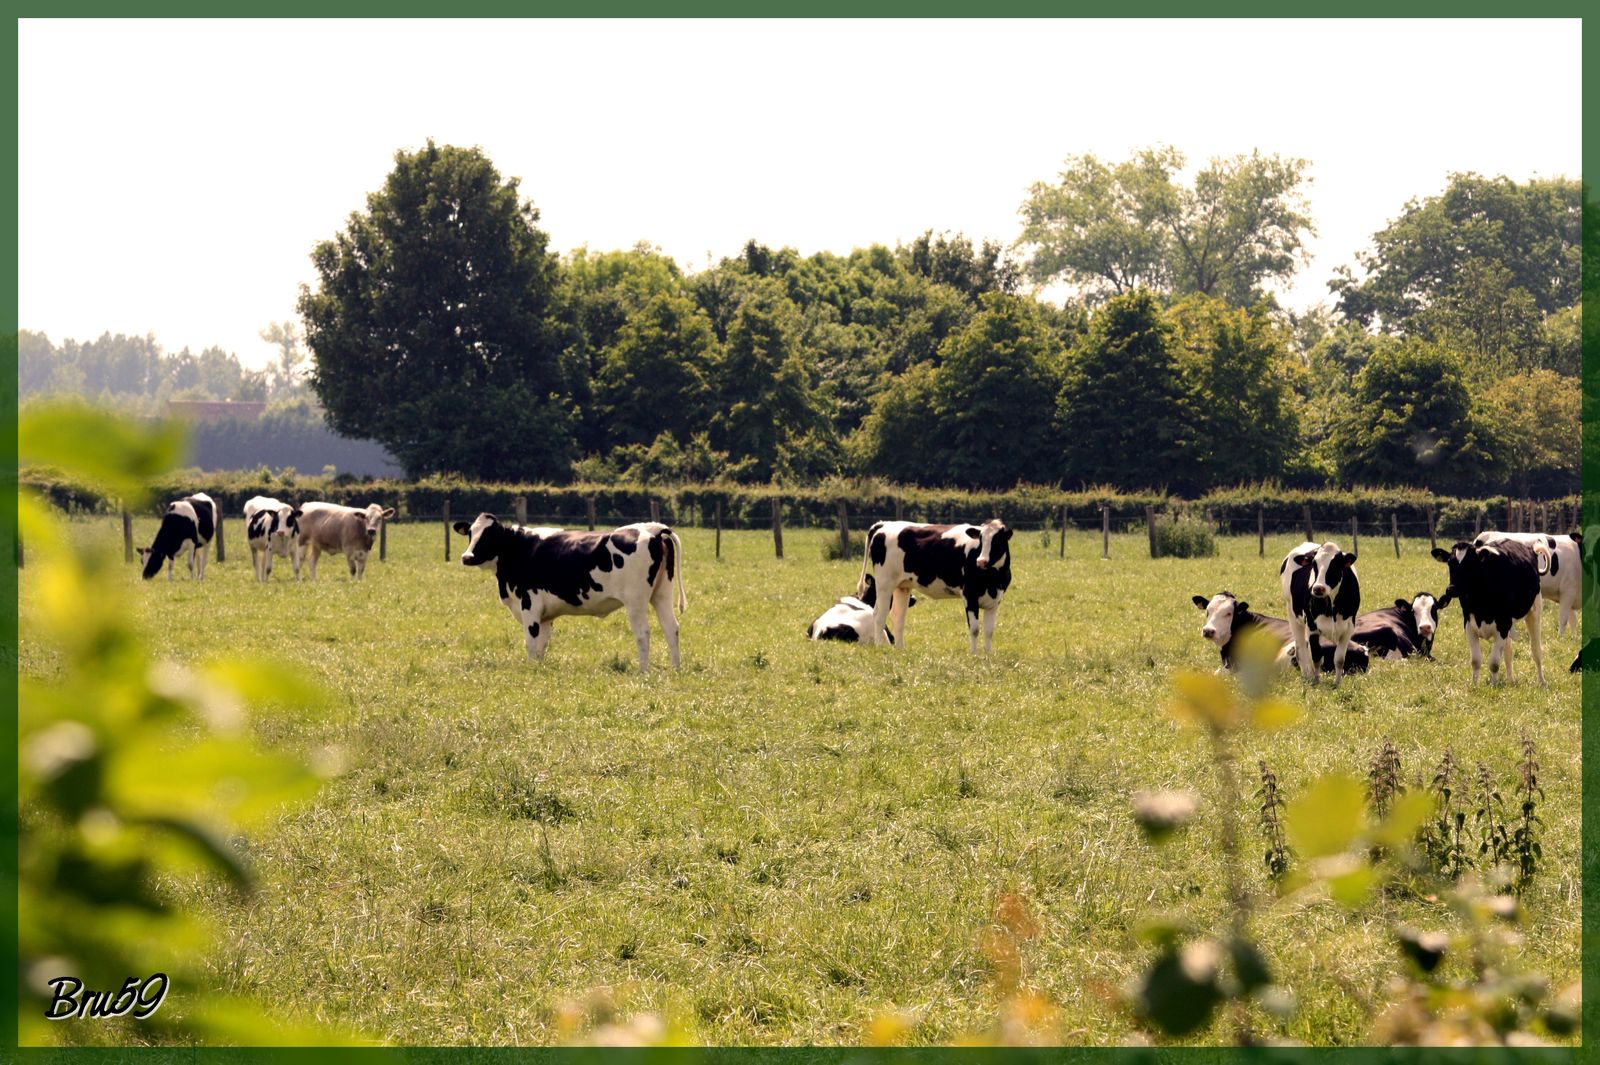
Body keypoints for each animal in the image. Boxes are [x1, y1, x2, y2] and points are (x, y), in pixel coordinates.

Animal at [457, 514, 694, 671]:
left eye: (490, 536)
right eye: (470, 534)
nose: (466, 557)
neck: (517, 549)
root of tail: (651, 528)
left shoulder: (529, 604)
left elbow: (531, 641)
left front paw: (530, 668)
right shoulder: (546, 613)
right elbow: (542, 643)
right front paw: (538, 669)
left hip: (636, 601)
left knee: (643, 633)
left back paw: (643, 671)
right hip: (662, 594)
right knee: (671, 628)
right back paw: (675, 668)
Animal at [864, 518, 1011, 652]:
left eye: (998, 540)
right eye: (980, 539)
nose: (981, 561)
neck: (993, 580)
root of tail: (885, 524)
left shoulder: (995, 600)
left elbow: (989, 631)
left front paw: (988, 654)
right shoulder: (970, 596)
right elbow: (975, 629)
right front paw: (974, 654)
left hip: (902, 586)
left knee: (898, 616)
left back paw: (900, 649)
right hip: (884, 584)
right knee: (879, 614)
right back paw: (880, 646)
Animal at [1273, 534, 1363, 684]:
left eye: (1335, 565)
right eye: (1314, 564)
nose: (1318, 588)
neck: (1332, 608)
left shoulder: (1349, 627)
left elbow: (1339, 659)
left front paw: (1337, 683)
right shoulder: (1311, 626)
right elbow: (1316, 657)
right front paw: (1316, 681)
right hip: (1292, 614)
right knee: (1301, 649)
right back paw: (1307, 676)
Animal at [1433, 534, 1542, 684]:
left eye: (1470, 565)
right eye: (1450, 563)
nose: (1451, 589)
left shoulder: (1503, 625)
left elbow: (1494, 662)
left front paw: (1494, 684)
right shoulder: (1469, 625)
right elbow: (1475, 660)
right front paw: (1474, 684)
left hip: (1534, 611)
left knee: (1536, 651)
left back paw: (1542, 682)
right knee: (1508, 651)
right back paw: (1511, 680)